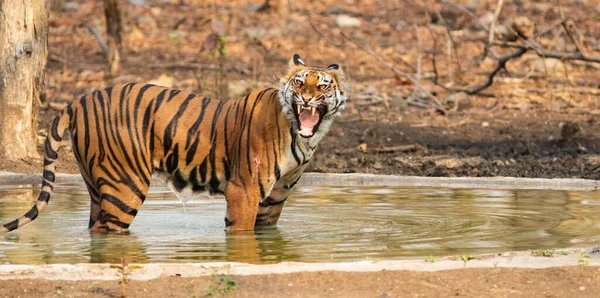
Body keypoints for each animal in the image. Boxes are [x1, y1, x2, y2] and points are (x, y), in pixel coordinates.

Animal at [0, 54, 346, 233]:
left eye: (322, 85)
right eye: (299, 82)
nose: (306, 98)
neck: (300, 136)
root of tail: (79, 100)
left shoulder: (274, 197)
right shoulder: (244, 191)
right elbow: (241, 235)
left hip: (96, 186)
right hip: (125, 185)